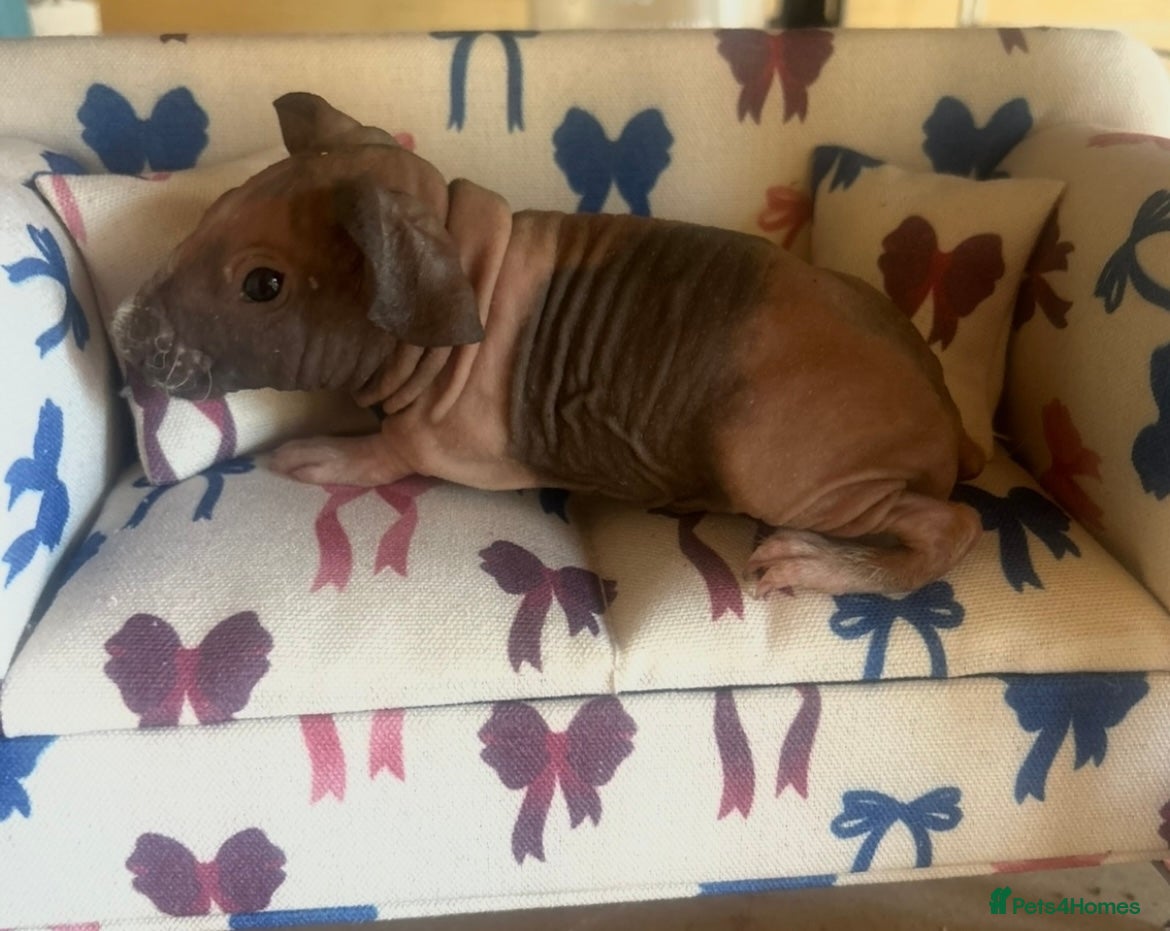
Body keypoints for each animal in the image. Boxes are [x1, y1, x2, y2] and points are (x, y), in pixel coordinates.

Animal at [113, 92, 985, 596]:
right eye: (218, 204)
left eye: (262, 285)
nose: (121, 328)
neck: (463, 263)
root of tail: (950, 418)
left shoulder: (452, 446)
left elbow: (393, 450)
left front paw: (326, 454)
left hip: (777, 465)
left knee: (950, 526)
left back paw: (828, 565)